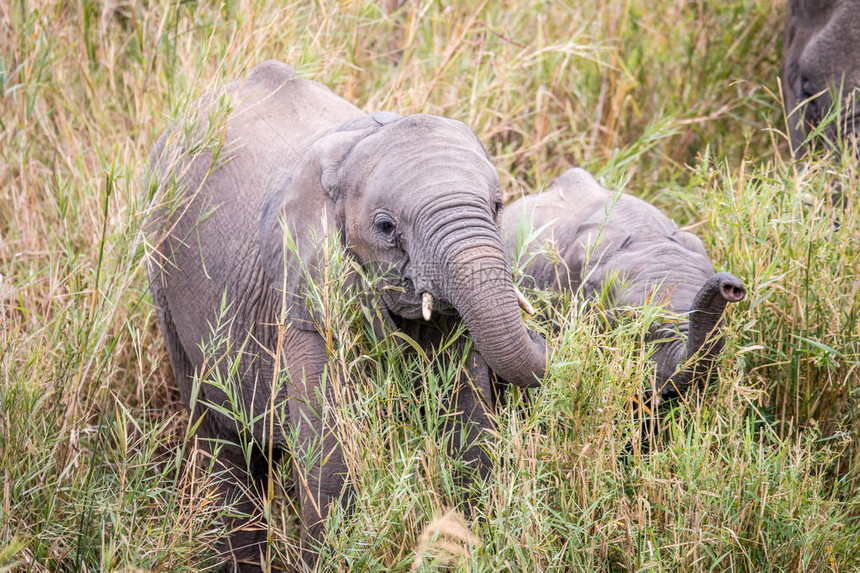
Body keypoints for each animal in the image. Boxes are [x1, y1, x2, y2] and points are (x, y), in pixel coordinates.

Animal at [141, 60, 544, 568]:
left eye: (497, 205)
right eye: (386, 227)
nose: (544, 334)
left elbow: (469, 428)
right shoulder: (305, 308)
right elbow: (330, 466)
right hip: (161, 268)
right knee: (222, 439)